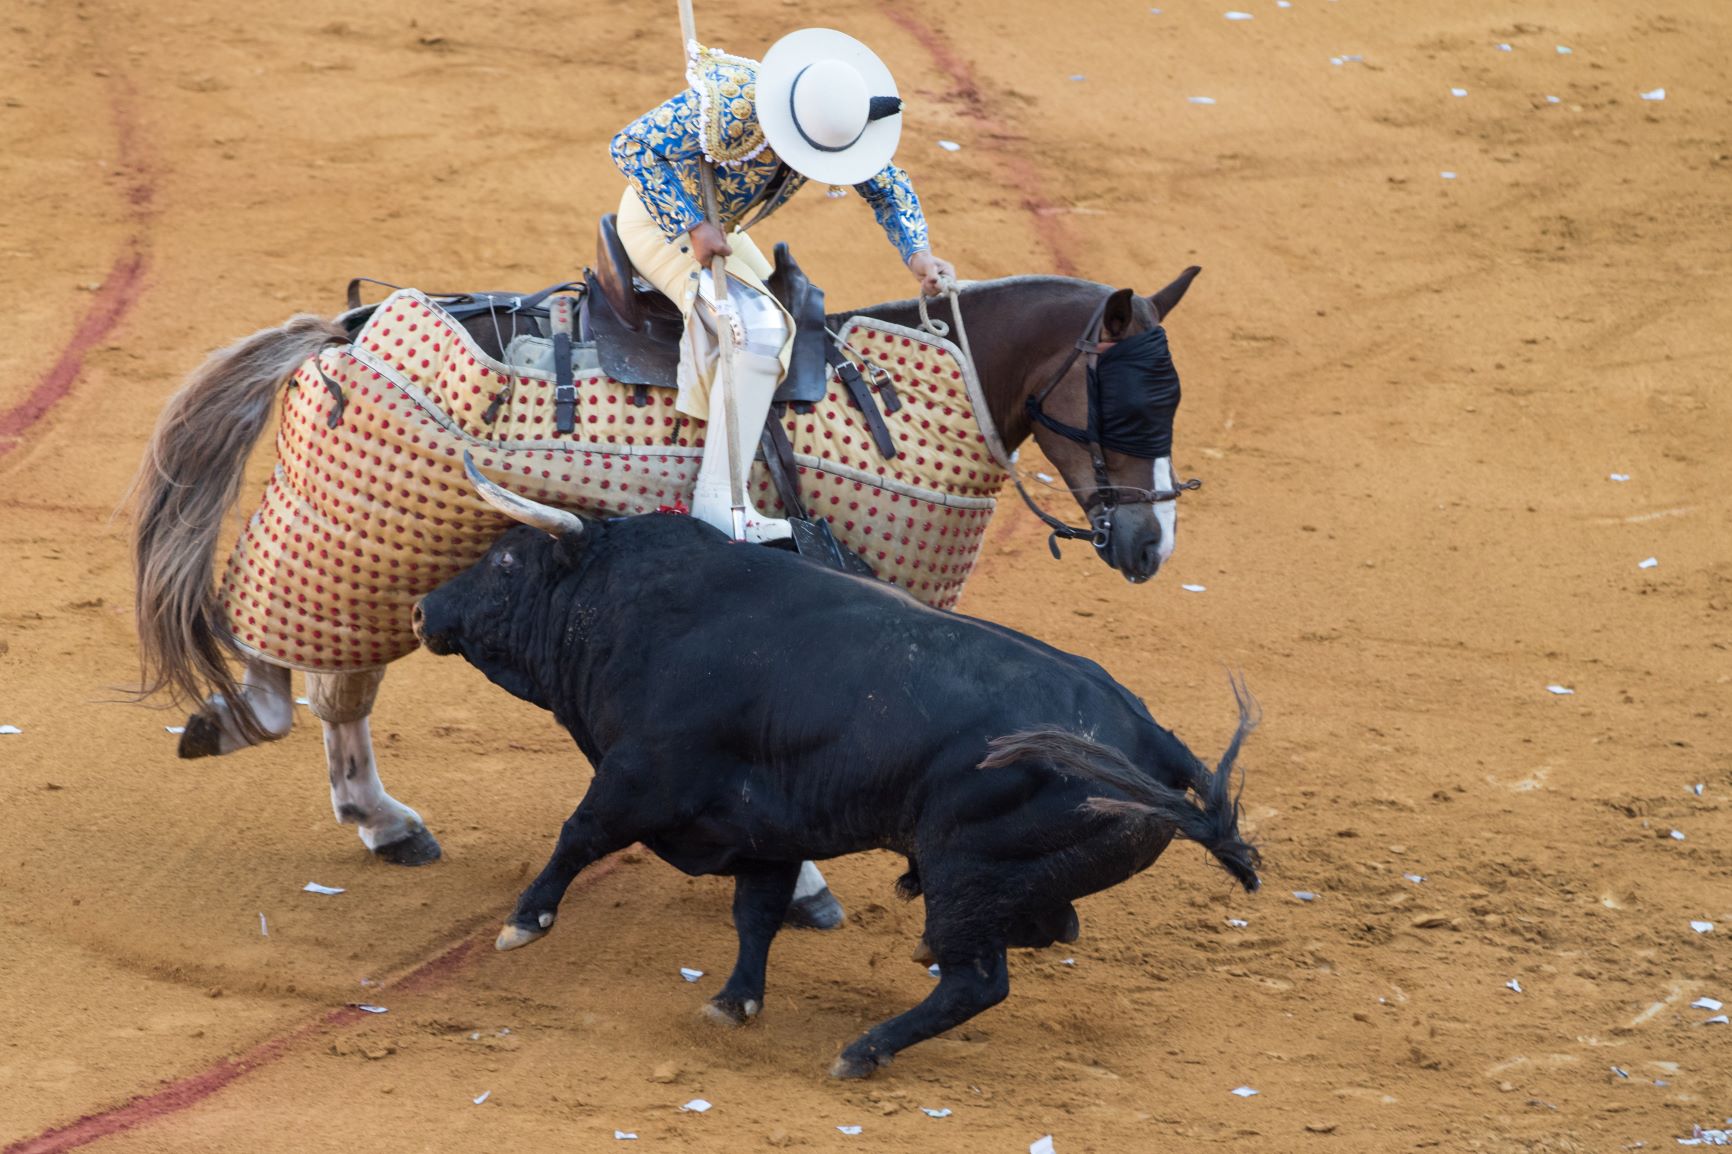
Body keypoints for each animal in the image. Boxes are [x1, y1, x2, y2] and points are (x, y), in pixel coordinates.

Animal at [130, 268, 1204, 886]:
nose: (1152, 545)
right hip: (362, 545)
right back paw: (335, 787)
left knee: (316, 681)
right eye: (1126, 403)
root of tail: (345, 328)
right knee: (304, 671)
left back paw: (351, 804)